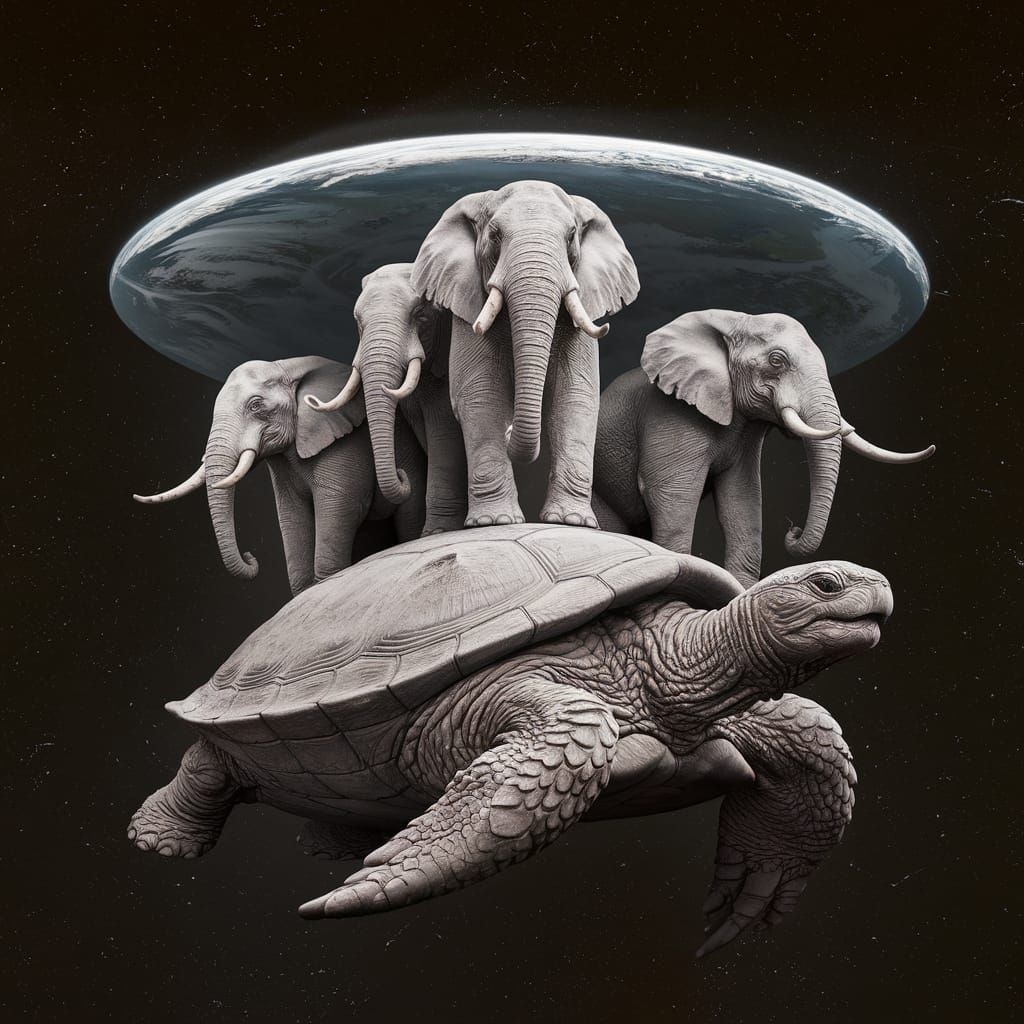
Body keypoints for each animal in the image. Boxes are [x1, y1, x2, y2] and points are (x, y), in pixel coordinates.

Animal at [133, 356, 427, 596]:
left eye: (255, 406)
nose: (251, 557)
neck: (288, 367)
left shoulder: (347, 443)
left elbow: (342, 505)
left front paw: (325, 581)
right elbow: (290, 514)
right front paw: (303, 591)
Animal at [409, 180, 640, 528]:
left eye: (571, 235)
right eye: (495, 235)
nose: (509, 431)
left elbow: (575, 394)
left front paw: (570, 522)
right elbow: (482, 393)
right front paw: (494, 522)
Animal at [593, 310, 935, 587]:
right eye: (776, 361)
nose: (793, 531)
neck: (733, 321)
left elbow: (743, 501)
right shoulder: (670, 414)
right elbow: (671, 493)